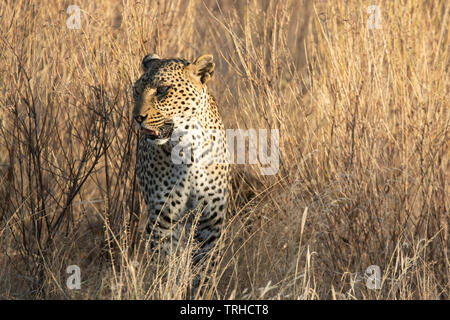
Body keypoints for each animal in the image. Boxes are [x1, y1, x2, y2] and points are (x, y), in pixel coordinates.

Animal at [130, 53, 229, 272]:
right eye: (136, 91)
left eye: (162, 90)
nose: (137, 117)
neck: (188, 147)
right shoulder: (162, 220)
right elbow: (167, 266)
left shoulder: (211, 220)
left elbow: (205, 268)